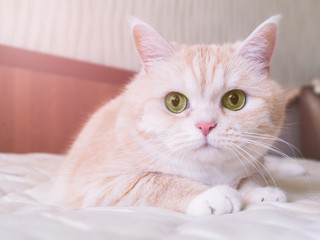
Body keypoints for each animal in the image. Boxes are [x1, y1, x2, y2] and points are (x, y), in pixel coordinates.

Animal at [52, 15, 288, 217]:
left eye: (234, 100)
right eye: (175, 102)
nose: (205, 125)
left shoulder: (254, 164)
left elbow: (250, 177)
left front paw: (259, 191)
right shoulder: (96, 185)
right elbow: (158, 182)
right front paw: (211, 194)